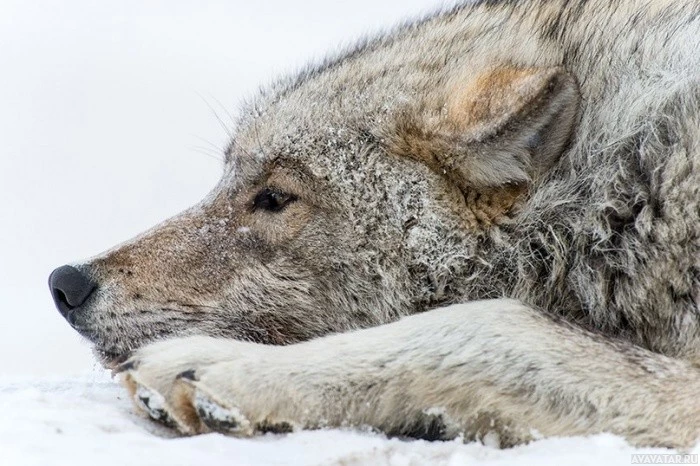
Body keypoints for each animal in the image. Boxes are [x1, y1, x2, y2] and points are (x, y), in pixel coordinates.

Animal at [49, 0, 700, 450]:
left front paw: (229, 368)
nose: (66, 284)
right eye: (227, 180)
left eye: (274, 198)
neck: (626, 197)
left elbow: (490, 325)